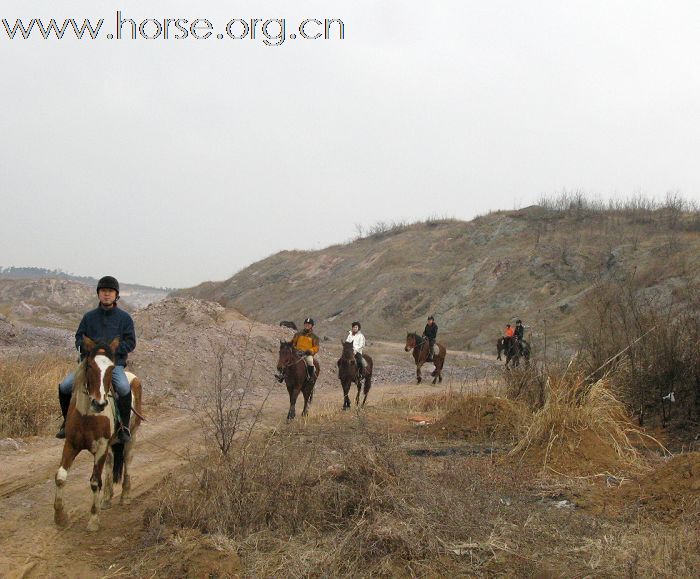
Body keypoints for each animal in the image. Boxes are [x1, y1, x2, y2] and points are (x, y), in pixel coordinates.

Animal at [54, 338, 144, 532]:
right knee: (110, 464)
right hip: (111, 445)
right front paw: (60, 517)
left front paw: (94, 520)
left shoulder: (101, 446)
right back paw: (107, 498)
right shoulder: (71, 444)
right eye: (89, 365)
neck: (88, 415)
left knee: (127, 462)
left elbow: (95, 482)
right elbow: (60, 477)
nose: (99, 403)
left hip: (131, 437)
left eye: (111, 368)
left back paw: (125, 496)